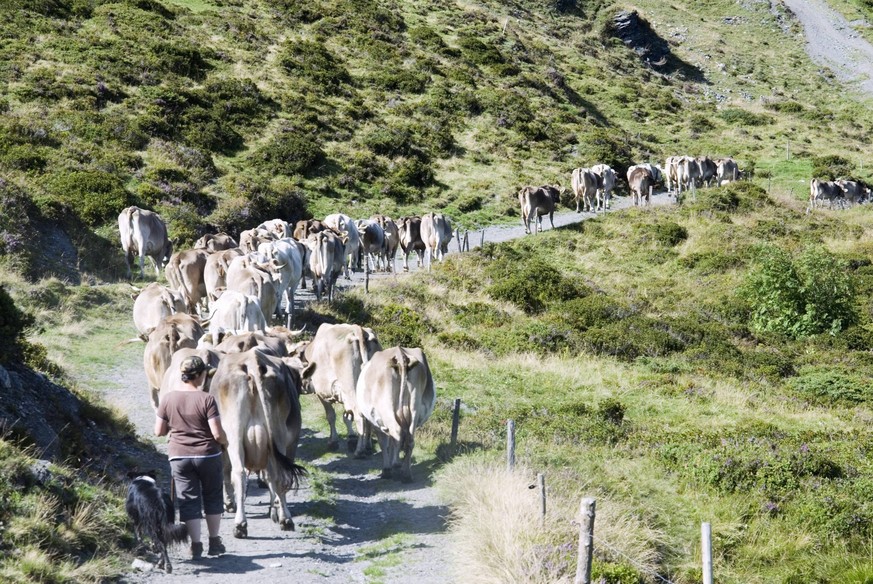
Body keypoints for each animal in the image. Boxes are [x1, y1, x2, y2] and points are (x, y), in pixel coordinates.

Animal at [210, 350, 306, 536]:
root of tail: (252, 359)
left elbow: (225, 472)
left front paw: (229, 503)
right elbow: (270, 477)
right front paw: (274, 509)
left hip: (234, 434)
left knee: (239, 473)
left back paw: (242, 524)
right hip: (277, 433)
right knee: (278, 475)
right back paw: (285, 519)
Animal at [298, 324, 380, 452]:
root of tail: (358, 329)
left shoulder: (322, 393)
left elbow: (331, 416)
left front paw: (333, 441)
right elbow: (347, 417)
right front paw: (350, 438)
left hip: (350, 388)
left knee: (359, 415)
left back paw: (360, 450)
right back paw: (367, 445)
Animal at [354, 350, 436, 482]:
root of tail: (400, 354)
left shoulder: (377, 422)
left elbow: (384, 442)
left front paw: (387, 468)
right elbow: (391, 442)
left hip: (386, 408)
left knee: (397, 433)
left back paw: (392, 469)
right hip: (415, 407)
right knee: (409, 440)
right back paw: (406, 473)